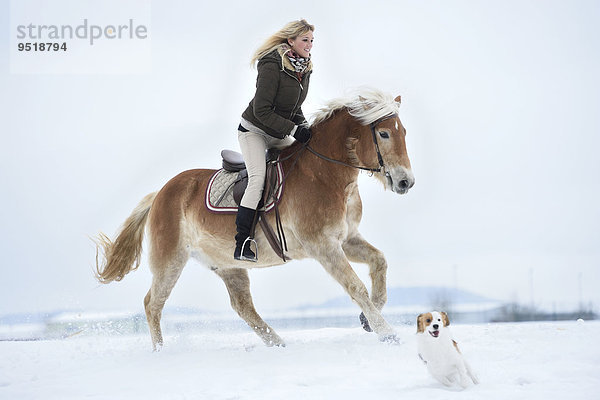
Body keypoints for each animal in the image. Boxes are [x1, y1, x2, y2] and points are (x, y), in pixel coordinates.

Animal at [96, 88, 414, 350]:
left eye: (404, 133)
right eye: (384, 134)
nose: (406, 182)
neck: (325, 174)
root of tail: (161, 193)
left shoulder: (346, 238)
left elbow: (379, 262)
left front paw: (368, 319)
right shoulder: (322, 246)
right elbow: (355, 286)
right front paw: (387, 333)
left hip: (228, 265)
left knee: (242, 306)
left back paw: (278, 344)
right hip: (170, 260)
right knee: (153, 304)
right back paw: (161, 352)